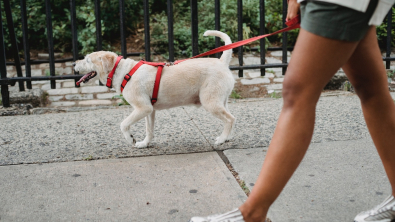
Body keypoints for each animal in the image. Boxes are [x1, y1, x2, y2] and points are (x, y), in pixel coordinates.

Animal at [74, 29, 235, 147]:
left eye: (87, 60)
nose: (74, 64)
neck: (123, 72)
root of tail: (222, 62)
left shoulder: (142, 108)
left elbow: (123, 124)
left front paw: (130, 139)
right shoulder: (149, 111)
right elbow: (149, 130)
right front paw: (144, 144)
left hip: (210, 102)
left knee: (230, 119)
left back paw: (221, 139)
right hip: (221, 101)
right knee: (230, 118)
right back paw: (226, 137)